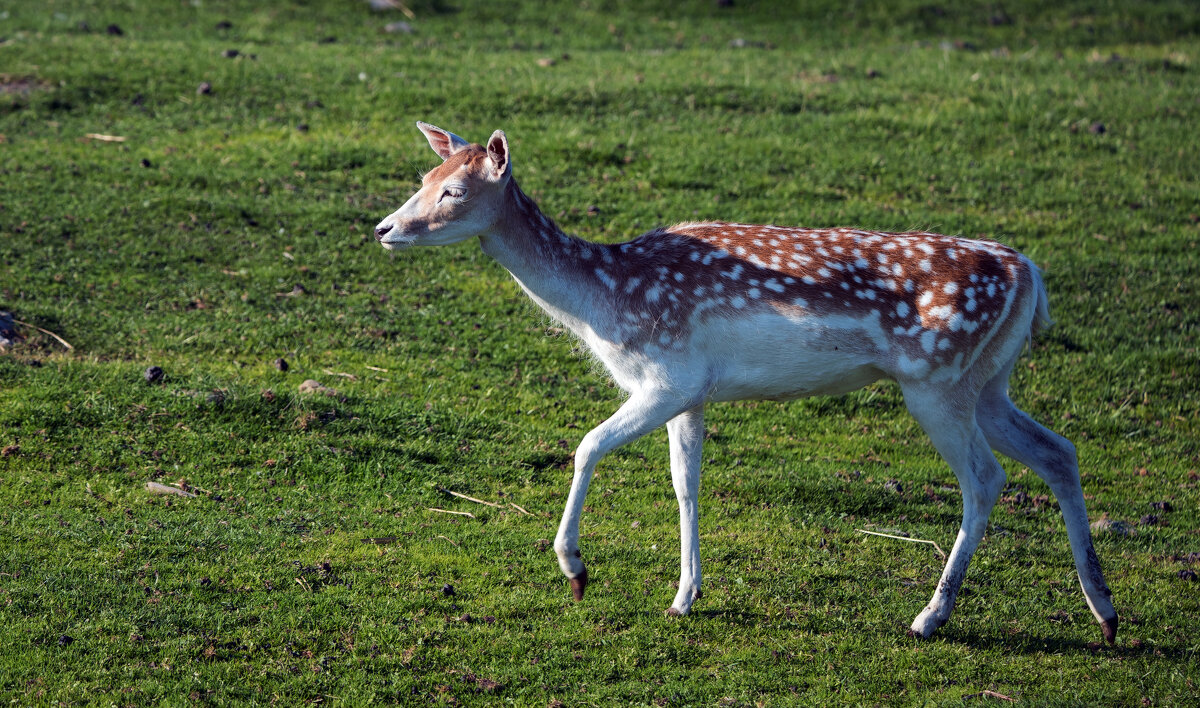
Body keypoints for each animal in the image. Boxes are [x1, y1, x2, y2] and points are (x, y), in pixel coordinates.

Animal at [369, 122, 1118, 643]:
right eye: (424, 173)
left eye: (454, 190)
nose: (384, 227)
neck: (604, 305)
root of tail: (1029, 274)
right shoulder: (692, 392)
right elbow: (685, 483)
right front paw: (684, 596)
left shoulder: (666, 376)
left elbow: (585, 446)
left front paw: (576, 570)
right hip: (988, 382)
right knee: (1058, 450)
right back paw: (1106, 613)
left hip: (938, 380)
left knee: (987, 478)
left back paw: (930, 617)